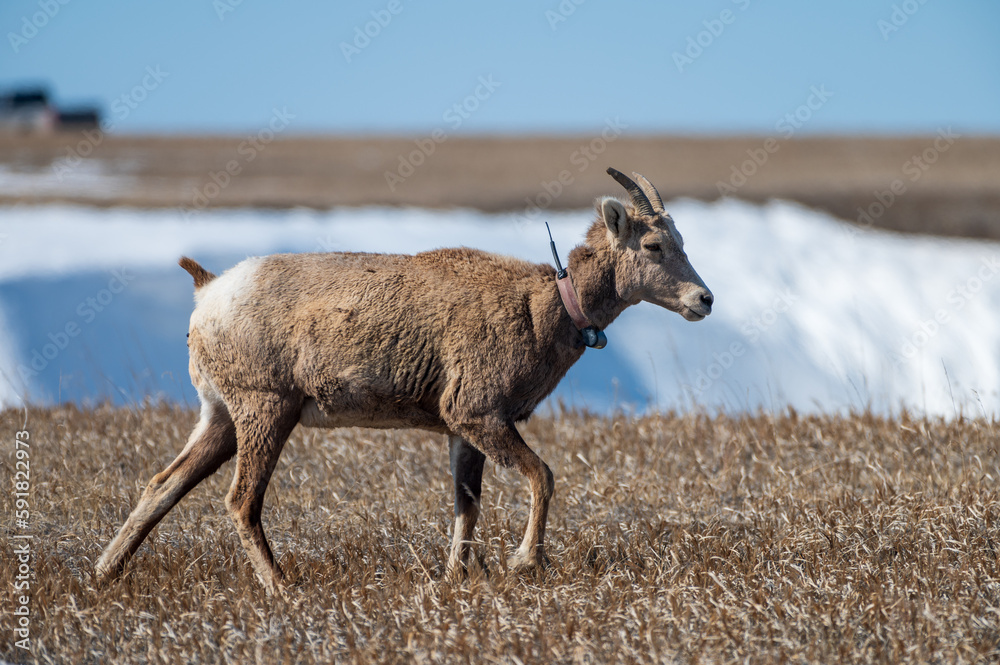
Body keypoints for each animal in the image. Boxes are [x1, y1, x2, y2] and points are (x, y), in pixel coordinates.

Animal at [95, 168, 713, 594]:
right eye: (654, 244)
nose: (703, 300)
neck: (543, 309)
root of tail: (208, 292)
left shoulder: (462, 432)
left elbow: (467, 508)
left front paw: (455, 579)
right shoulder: (479, 414)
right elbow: (543, 476)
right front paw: (525, 562)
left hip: (220, 417)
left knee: (163, 484)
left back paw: (105, 573)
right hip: (266, 410)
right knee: (240, 501)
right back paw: (283, 588)